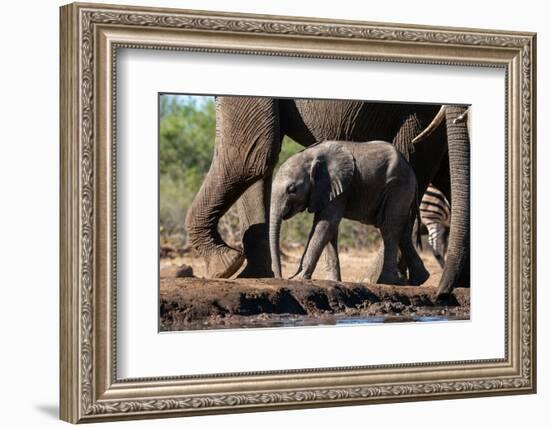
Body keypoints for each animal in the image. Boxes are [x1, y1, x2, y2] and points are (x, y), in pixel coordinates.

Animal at [270, 141, 432, 288]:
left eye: (292, 189)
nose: (280, 277)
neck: (310, 155)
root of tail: (412, 171)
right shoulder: (326, 190)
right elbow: (328, 228)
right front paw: (333, 281)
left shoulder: (339, 186)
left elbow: (325, 225)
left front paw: (298, 278)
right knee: (403, 230)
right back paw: (418, 280)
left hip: (399, 186)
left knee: (389, 228)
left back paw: (388, 281)